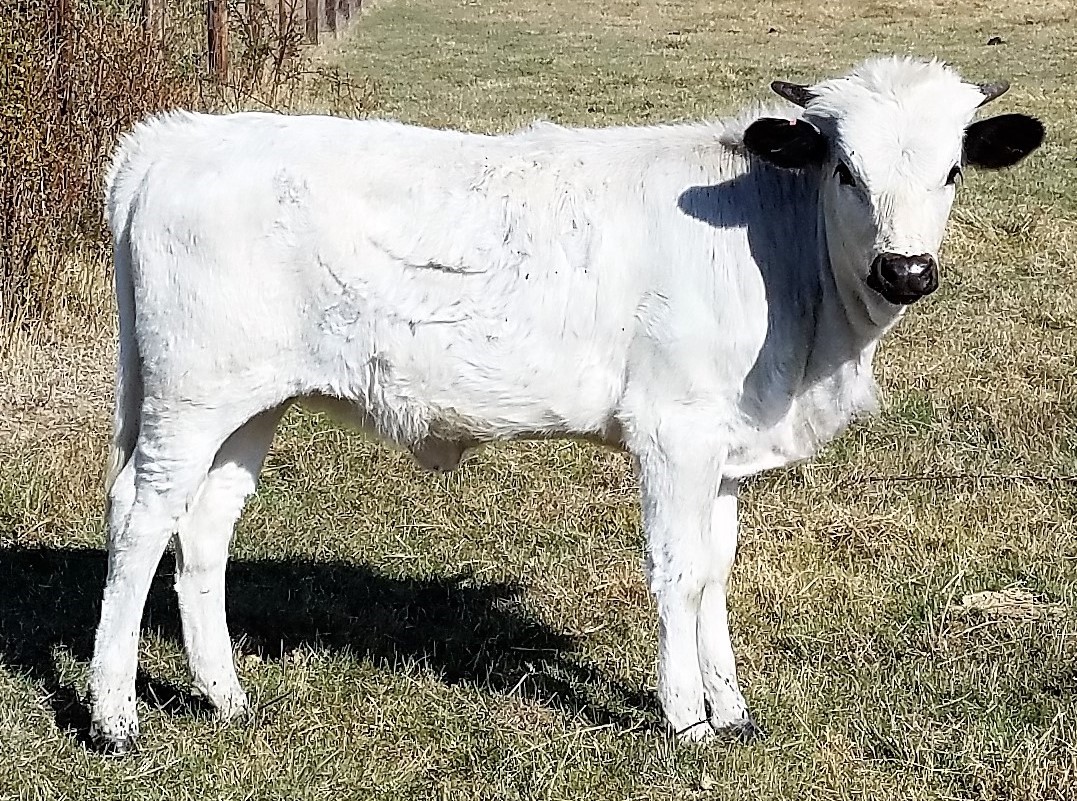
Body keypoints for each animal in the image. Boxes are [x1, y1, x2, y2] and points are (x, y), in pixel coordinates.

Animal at [88, 55, 1044, 752]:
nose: (905, 269)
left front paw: (733, 708)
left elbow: (715, 571)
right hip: (189, 395)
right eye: (845, 170)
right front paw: (687, 719)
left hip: (250, 401)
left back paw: (225, 696)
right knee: (140, 520)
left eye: (953, 170)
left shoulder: (724, 449)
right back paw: (113, 717)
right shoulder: (672, 433)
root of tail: (173, 138)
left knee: (204, 527)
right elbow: (677, 571)